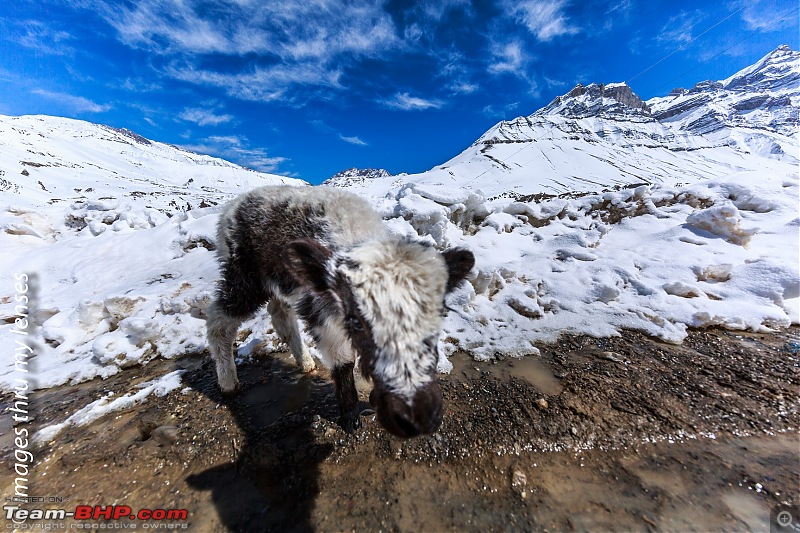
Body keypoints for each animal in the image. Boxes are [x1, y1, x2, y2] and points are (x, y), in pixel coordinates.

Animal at [203, 186, 476, 436]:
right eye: (358, 321)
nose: (413, 415)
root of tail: (234, 205)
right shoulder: (326, 315)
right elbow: (343, 362)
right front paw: (350, 417)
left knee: (279, 313)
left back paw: (305, 362)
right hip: (243, 276)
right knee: (218, 319)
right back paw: (228, 381)